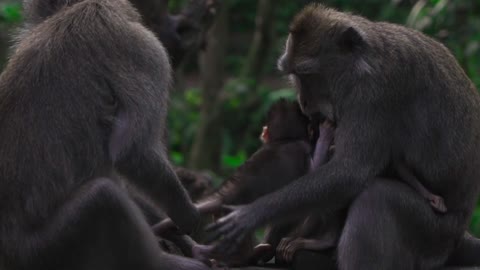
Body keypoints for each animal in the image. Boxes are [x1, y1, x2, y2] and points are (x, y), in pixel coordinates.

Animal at [0, 0, 212, 268]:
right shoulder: (147, 50)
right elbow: (133, 151)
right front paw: (189, 217)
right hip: (40, 251)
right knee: (105, 198)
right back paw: (164, 262)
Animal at [204, 3, 480, 268]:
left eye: (308, 74)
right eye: (294, 75)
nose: (304, 102)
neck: (364, 61)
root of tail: (459, 233)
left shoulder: (373, 93)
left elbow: (351, 170)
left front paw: (251, 214)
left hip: (433, 235)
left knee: (377, 197)